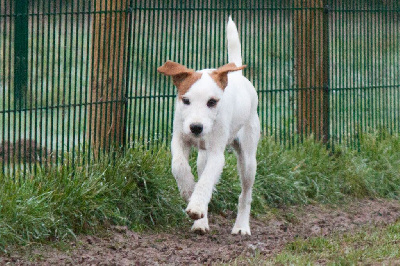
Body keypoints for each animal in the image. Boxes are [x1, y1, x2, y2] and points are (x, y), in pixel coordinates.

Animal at [156, 16, 260, 235]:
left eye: (212, 102)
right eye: (186, 100)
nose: (196, 127)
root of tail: (237, 75)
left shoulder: (216, 153)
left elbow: (206, 180)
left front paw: (195, 207)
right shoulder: (179, 139)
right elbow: (179, 165)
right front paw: (188, 191)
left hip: (248, 159)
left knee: (245, 194)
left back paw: (241, 226)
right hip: (202, 157)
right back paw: (201, 223)